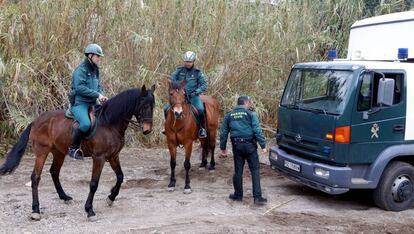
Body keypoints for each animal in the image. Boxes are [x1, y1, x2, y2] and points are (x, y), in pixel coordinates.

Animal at [0, 85, 155, 220]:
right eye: (144, 106)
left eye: (153, 106)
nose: (147, 130)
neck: (109, 123)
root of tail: (36, 121)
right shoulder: (99, 158)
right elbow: (94, 183)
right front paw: (89, 210)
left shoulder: (113, 156)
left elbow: (120, 177)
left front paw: (111, 197)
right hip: (41, 152)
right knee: (35, 178)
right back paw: (36, 211)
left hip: (59, 152)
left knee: (54, 172)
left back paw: (64, 197)